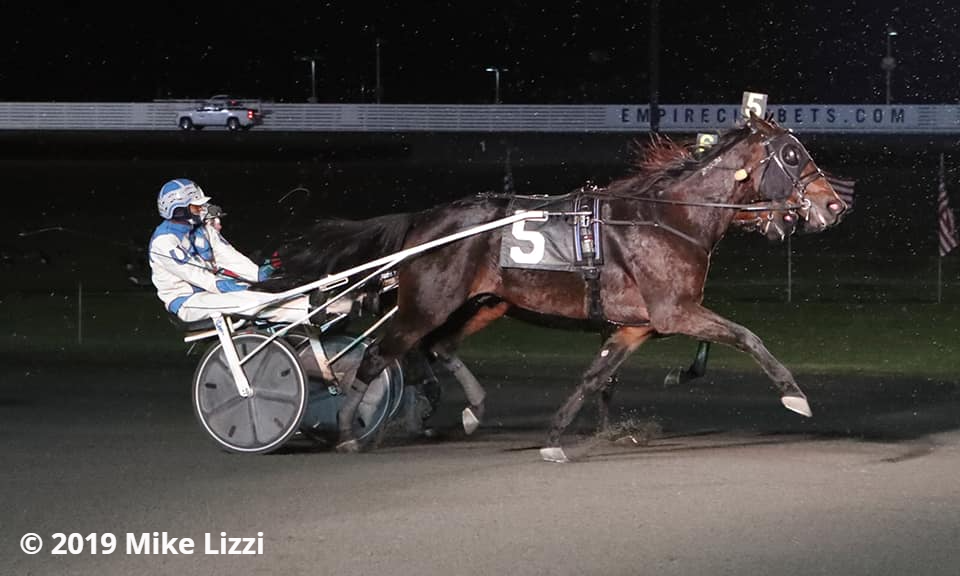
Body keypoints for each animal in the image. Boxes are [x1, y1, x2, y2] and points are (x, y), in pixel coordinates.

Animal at [268, 115, 840, 462]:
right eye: (792, 155)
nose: (834, 204)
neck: (670, 218)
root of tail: (424, 220)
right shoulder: (675, 310)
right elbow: (748, 337)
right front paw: (794, 395)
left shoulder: (637, 325)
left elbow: (594, 378)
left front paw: (556, 439)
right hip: (429, 303)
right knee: (382, 355)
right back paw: (350, 431)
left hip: (483, 303)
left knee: (434, 348)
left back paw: (468, 409)